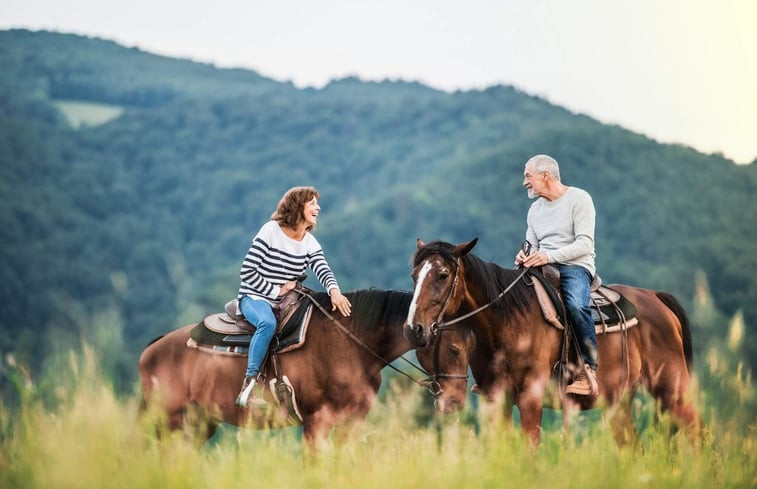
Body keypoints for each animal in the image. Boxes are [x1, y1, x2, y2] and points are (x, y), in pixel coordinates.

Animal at [139, 288, 416, 444]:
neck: (351, 343)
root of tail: (153, 348)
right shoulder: (316, 421)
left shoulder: (352, 422)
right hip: (169, 421)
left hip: (199, 423)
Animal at [404, 238, 700, 444]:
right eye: (414, 275)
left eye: (443, 274)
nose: (414, 328)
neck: (506, 323)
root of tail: (656, 297)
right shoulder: (495, 400)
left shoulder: (530, 399)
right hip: (618, 403)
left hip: (673, 390)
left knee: (697, 433)